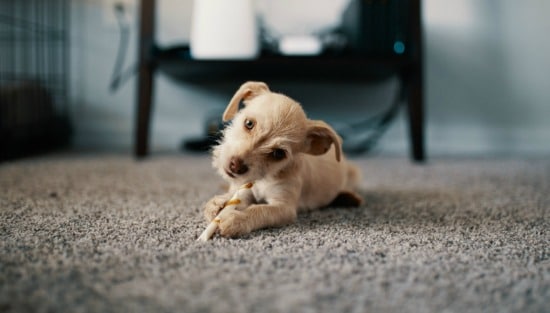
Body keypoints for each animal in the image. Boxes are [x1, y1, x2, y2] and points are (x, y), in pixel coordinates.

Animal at [205, 80, 364, 236]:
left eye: (278, 153)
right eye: (249, 123)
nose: (236, 166)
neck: (265, 178)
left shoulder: (284, 208)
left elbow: (260, 210)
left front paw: (236, 219)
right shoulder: (245, 189)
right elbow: (236, 198)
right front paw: (220, 203)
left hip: (354, 174)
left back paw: (348, 197)